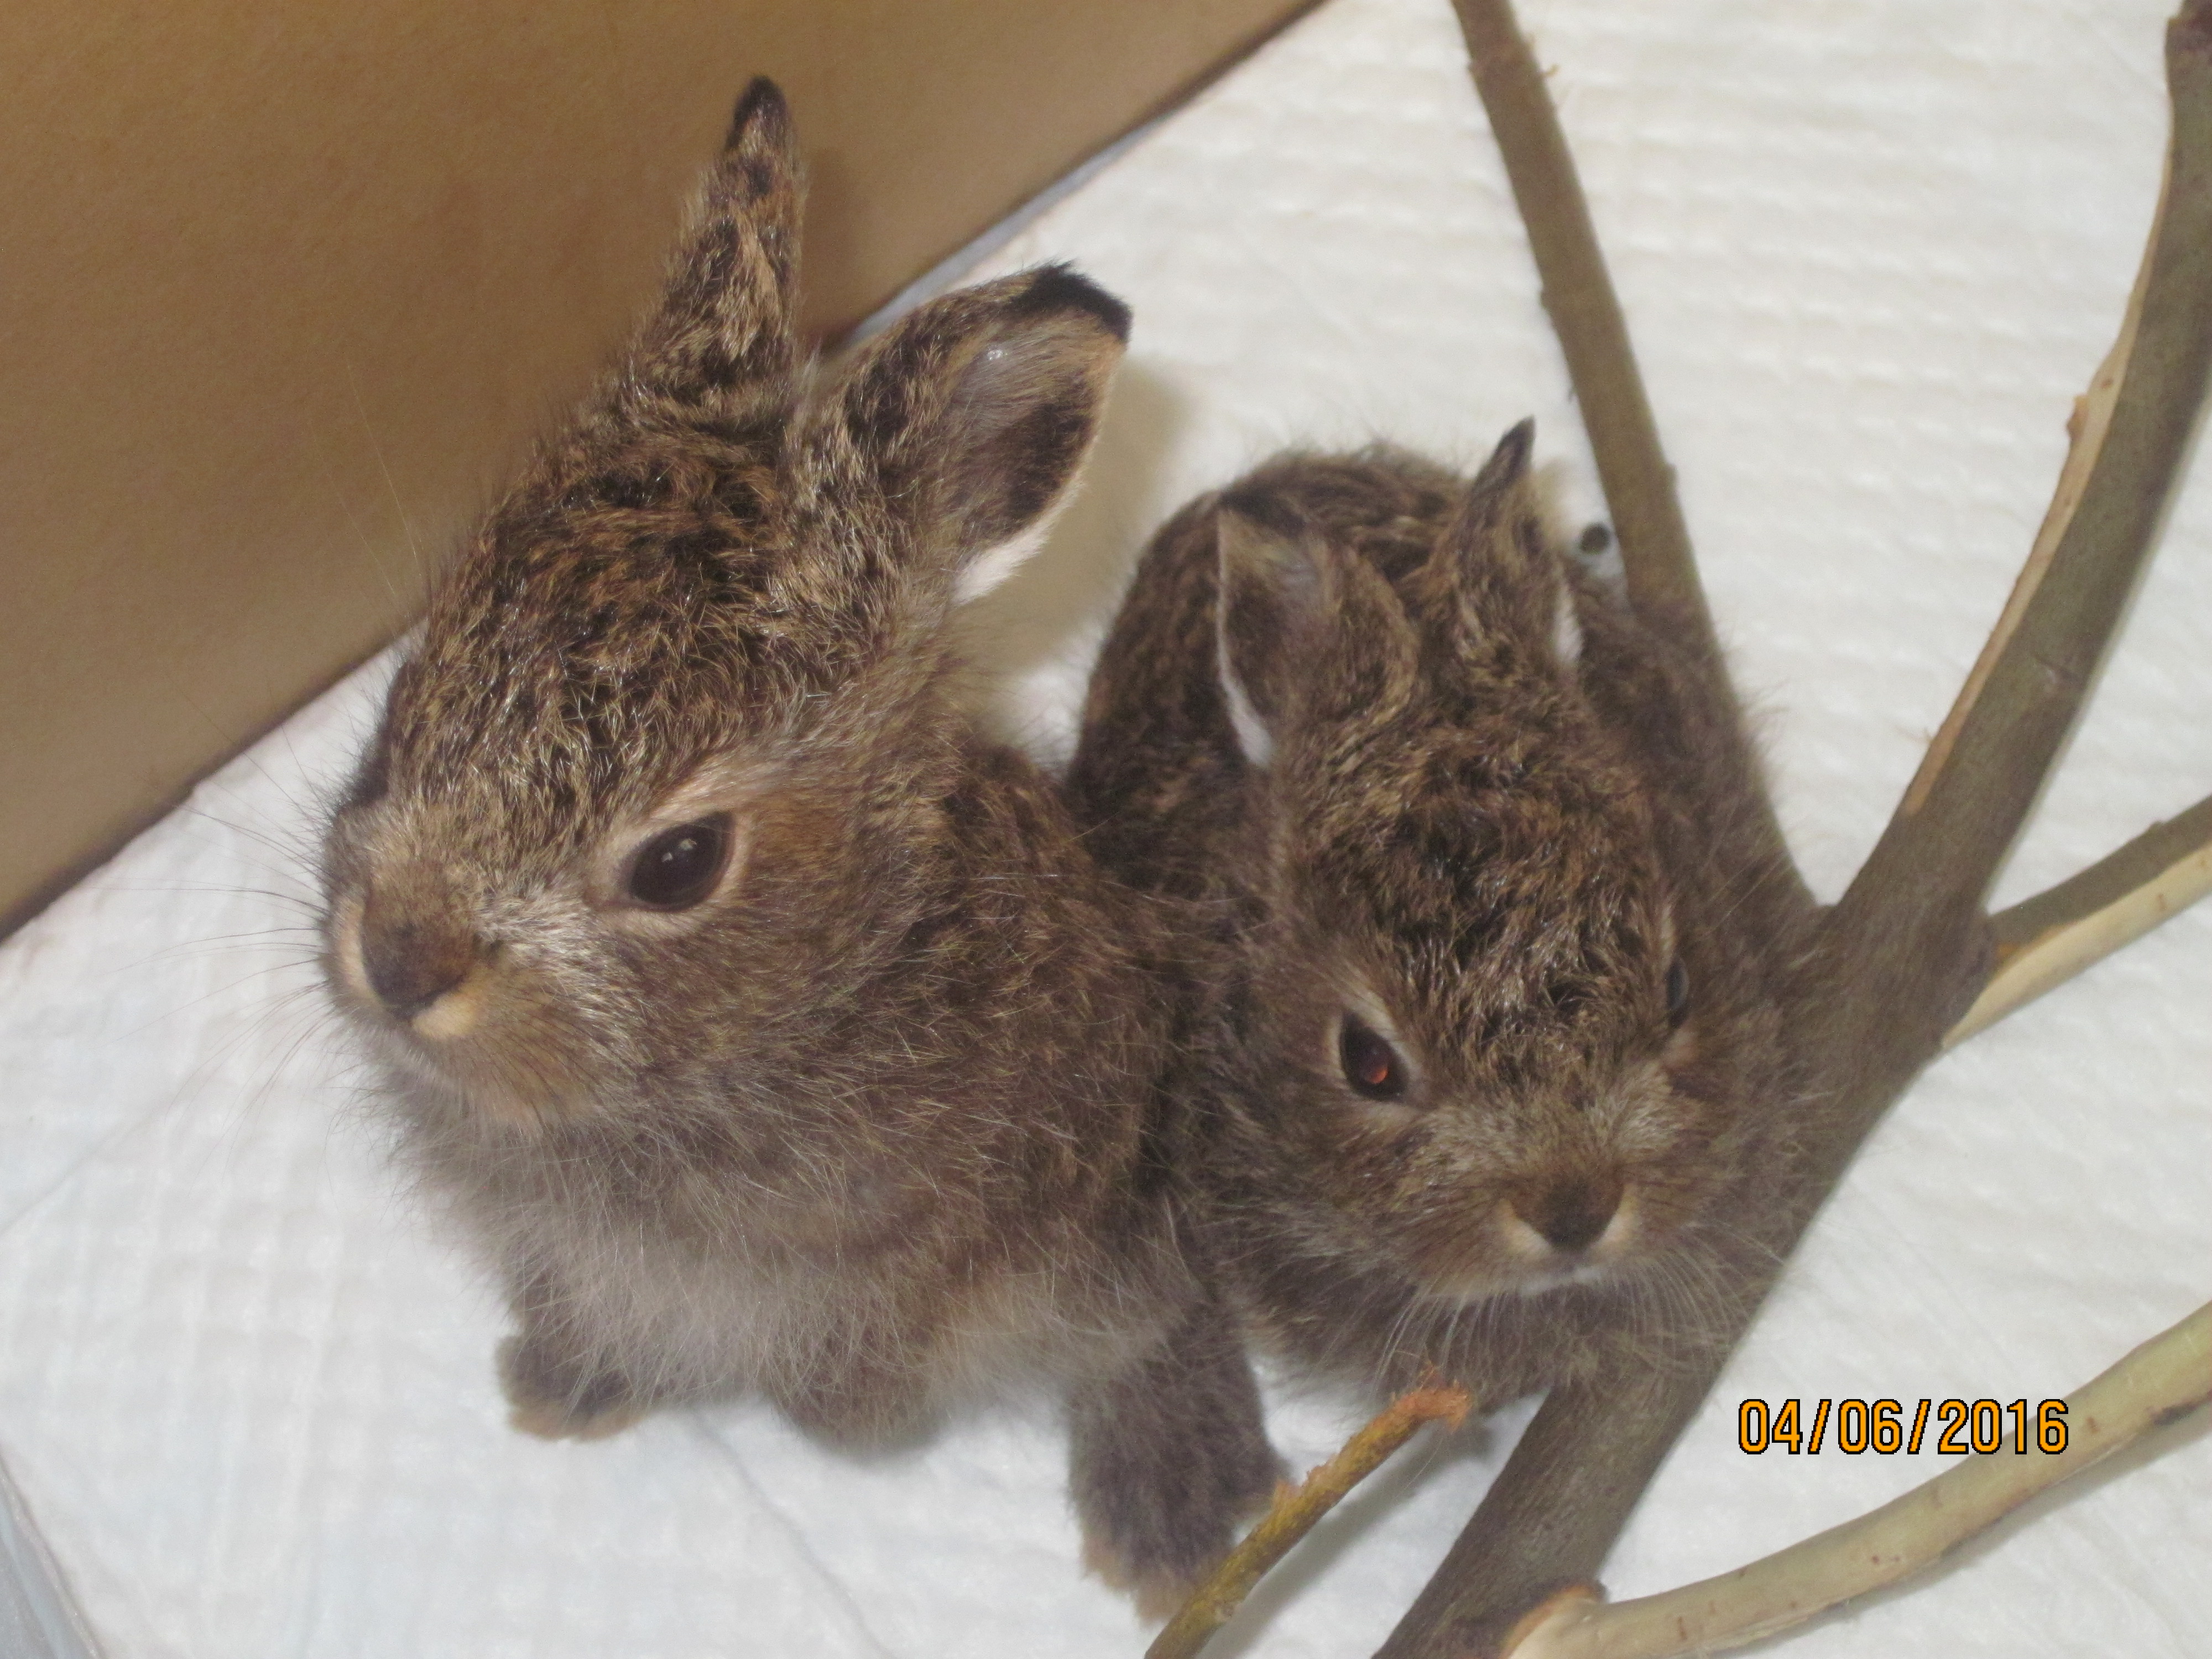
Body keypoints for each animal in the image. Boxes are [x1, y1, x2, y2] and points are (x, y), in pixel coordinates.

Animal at [316, 78, 1274, 1609]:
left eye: (677, 866)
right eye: (413, 693)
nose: (401, 959)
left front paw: (834, 1422)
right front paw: (564, 1377)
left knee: (1156, 1315)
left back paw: (1172, 1511)